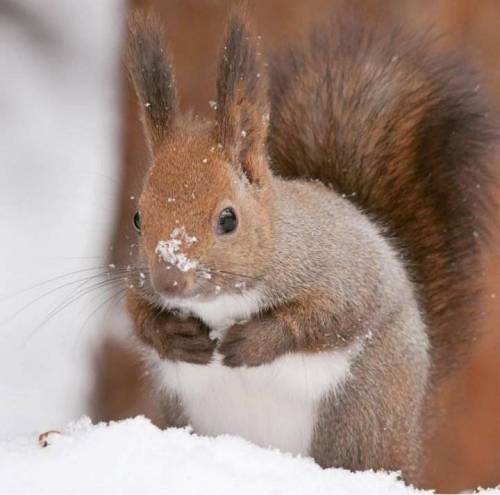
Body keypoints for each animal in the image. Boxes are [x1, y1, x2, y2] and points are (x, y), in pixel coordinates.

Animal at [126, 7, 496, 486]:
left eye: (228, 219)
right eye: (138, 218)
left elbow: (328, 317)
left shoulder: (342, 270)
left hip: (361, 413)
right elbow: (136, 314)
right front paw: (174, 336)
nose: (170, 282)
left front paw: (250, 343)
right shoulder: (138, 283)